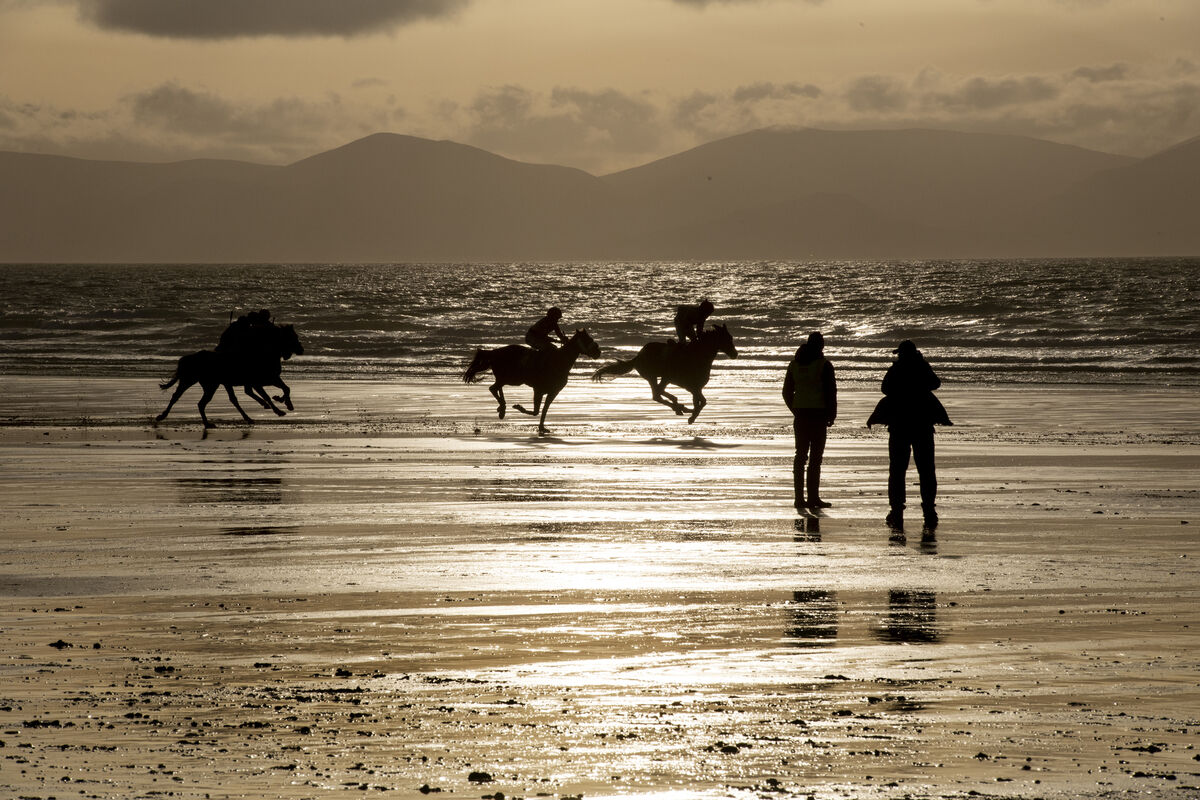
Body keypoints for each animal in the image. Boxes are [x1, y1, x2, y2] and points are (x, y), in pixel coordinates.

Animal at [156, 324, 304, 429]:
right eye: (292, 337)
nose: (301, 349)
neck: (263, 353)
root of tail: (187, 358)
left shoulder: (269, 379)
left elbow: (286, 388)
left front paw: (285, 403)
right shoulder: (259, 381)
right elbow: (268, 395)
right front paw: (279, 408)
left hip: (207, 384)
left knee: (197, 401)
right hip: (196, 381)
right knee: (189, 400)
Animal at [462, 328, 601, 434]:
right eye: (587, 339)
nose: (598, 352)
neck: (559, 361)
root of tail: (493, 352)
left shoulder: (553, 392)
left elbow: (543, 410)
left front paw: (542, 428)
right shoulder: (538, 389)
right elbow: (536, 411)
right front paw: (518, 407)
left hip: (508, 378)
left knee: (496, 387)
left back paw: (502, 409)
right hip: (512, 378)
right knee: (493, 388)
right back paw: (502, 407)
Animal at [591, 323, 738, 424]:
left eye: (731, 337)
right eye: (727, 339)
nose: (735, 354)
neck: (698, 356)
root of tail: (638, 356)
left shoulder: (695, 388)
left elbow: (701, 402)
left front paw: (691, 414)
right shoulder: (693, 387)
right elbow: (702, 402)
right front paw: (691, 417)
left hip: (660, 378)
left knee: (658, 393)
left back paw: (679, 406)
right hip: (655, 377)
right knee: (657, 394)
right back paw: (679, 406)